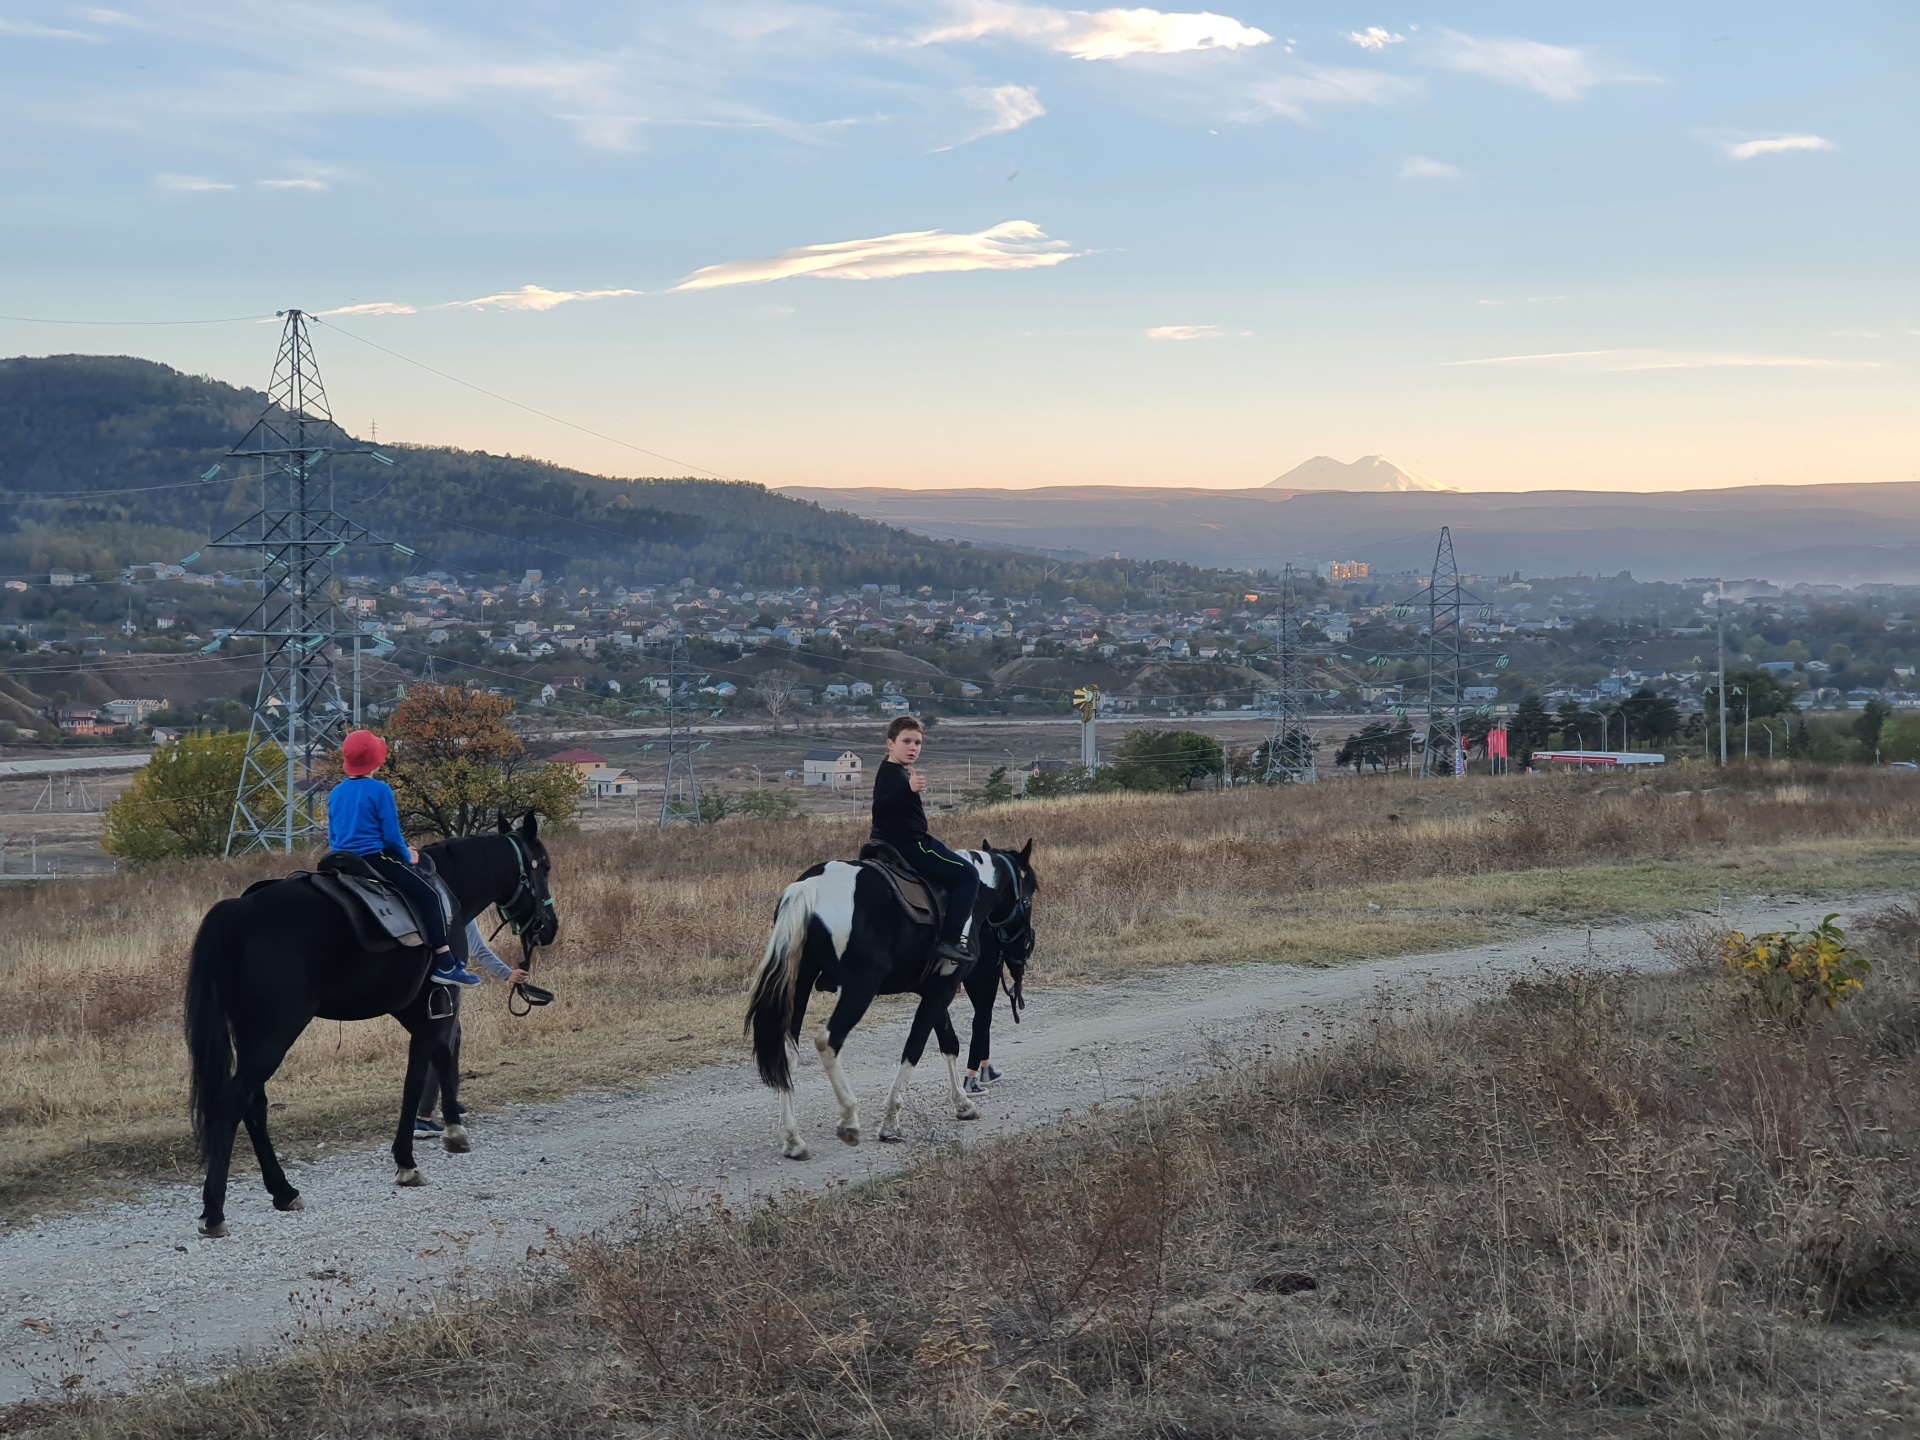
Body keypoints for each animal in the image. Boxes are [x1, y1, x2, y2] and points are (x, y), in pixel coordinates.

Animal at [183, 817, 560, 1236]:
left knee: (254, 1105)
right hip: (272, 1036)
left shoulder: (418, 1010)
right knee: (234, 1103)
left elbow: (441, 1057)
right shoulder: (437, 1006)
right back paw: (214, 1211)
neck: (451, 887)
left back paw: (283, 1191)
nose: (548, 927)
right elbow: (418, 1078)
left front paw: (452, 1130)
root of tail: (237, 910)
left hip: (253, 1036)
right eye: (543, 865)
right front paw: (409, 1160)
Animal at [741, 844, 1036, 1159]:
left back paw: (793, 1139)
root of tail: (811, 886)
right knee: (827, 1041)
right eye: (1028, 898)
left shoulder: (934, 990)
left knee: (788, 1052)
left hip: (800, 984)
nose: (1025, 947)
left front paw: (962, 1103)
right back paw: (848, 1119)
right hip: (860, 987)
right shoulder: (944, 988)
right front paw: (891, 1122)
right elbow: (915, 1048)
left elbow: (949, 1043)